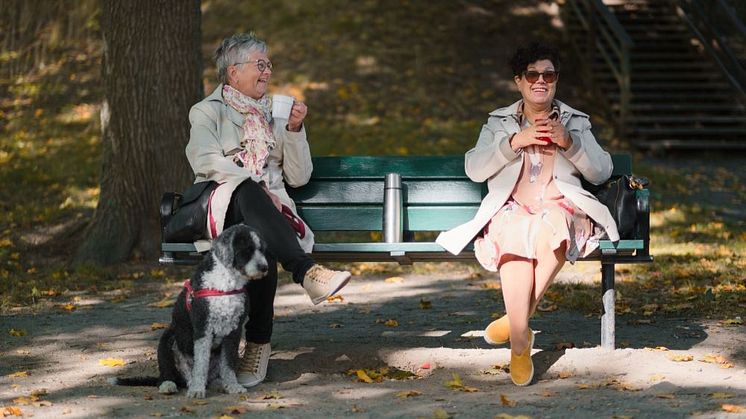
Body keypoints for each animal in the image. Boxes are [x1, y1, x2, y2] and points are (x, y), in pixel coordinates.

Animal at [112, 225, 268, 398]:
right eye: (246, 250)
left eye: (262, 249)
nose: (264, 268)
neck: (225, 284)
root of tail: (181, 379)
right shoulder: (203, 328)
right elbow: (200, 364)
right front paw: (197, 390)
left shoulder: (233, 331)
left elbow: (228, 365)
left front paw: (232, 386)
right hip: (167, 339)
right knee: (168, 373)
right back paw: (171, 385)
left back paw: (217, 384)